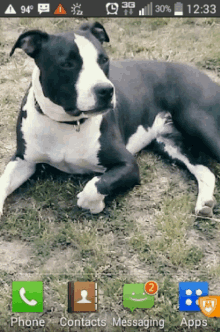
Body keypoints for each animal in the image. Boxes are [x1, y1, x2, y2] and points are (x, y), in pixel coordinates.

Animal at [0, 22, 218, 217]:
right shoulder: (23, 160)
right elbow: (3, 182)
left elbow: (96, 185)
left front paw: (95, 204)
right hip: (171, 144)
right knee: (205, 170)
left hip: (202, 126)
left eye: (103, 59)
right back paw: (205, 203)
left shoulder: (128, 165)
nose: (105, 90)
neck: (68, 123)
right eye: (67, 64)